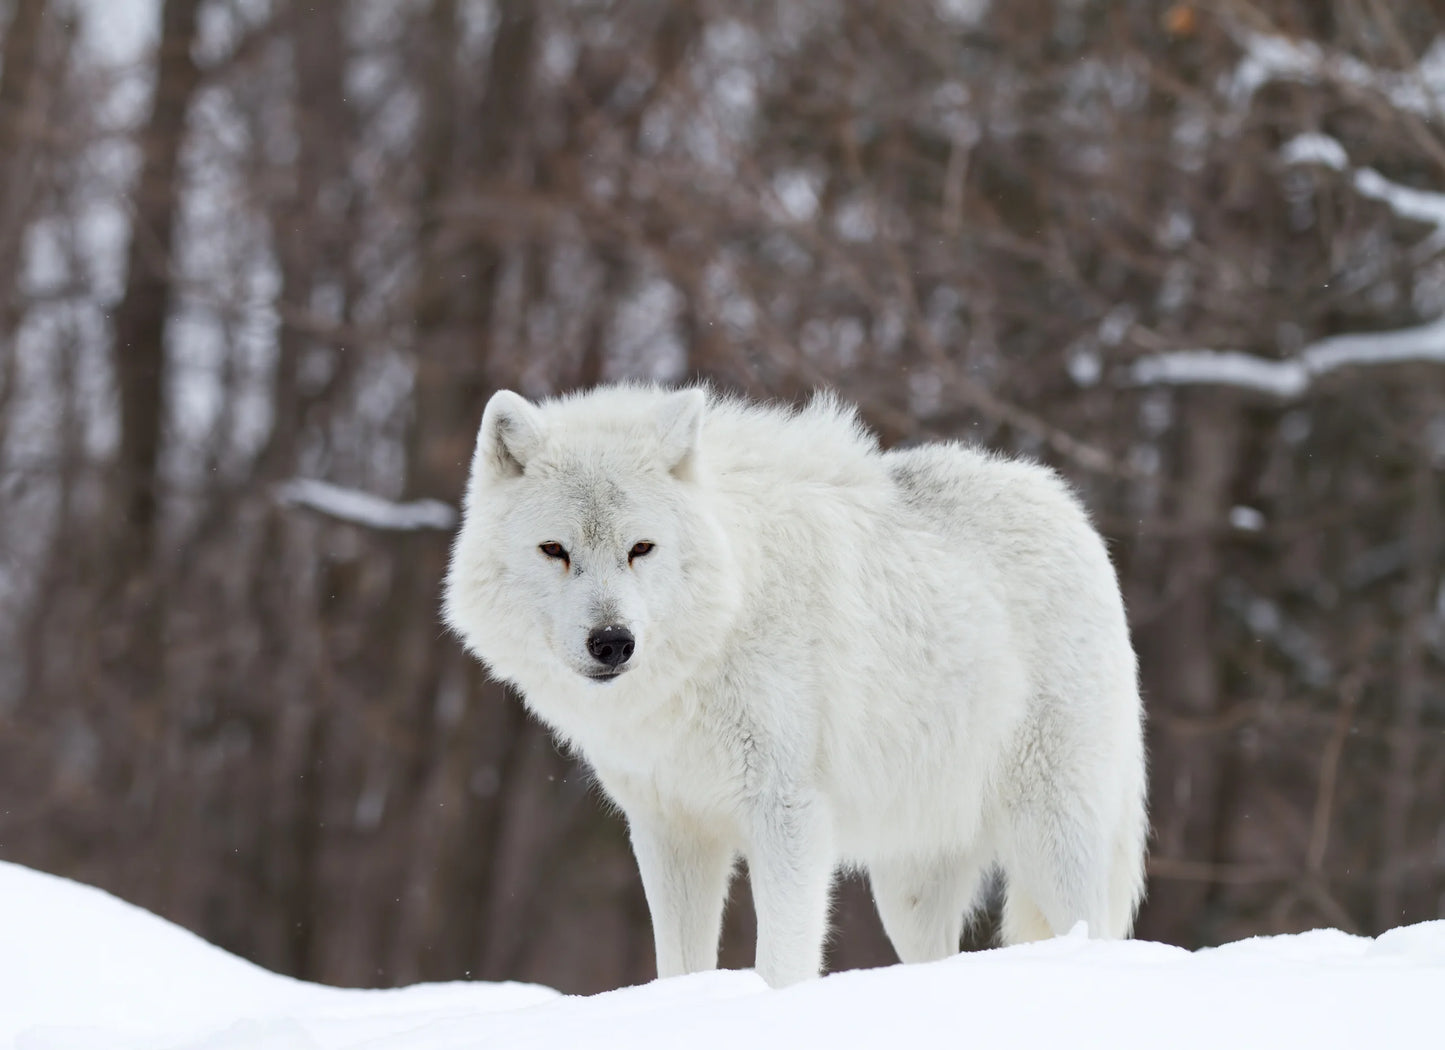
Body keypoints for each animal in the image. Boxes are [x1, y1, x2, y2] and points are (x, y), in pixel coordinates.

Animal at [443, 384, 1147, 988]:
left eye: (641, 548)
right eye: (554, 550)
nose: (613, 642)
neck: (722, 624)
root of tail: (1072, 512)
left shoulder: (787, 813)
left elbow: (781, 961)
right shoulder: (670, 828)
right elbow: (679, 965)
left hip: (1053, 839)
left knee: (1093, 929)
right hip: (910, 882)